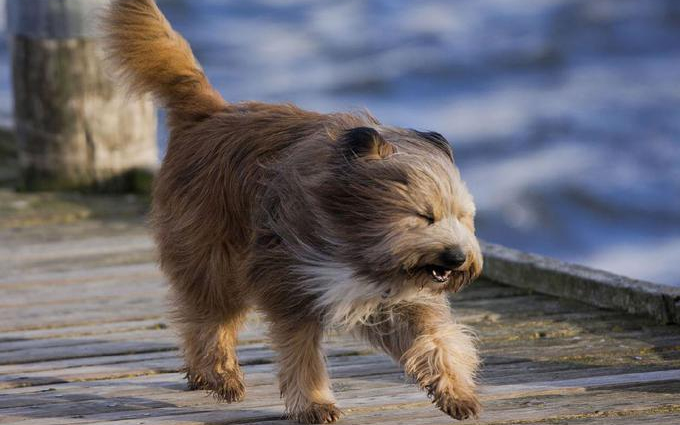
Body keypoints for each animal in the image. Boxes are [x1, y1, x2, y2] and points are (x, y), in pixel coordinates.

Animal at [102, 1, 484, 422]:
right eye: (423, 216)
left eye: (463, 218)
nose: (458, 257)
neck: (354, 238)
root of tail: (211, 113)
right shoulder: (291, 283)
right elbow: (302, 355)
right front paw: (315, 403)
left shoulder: (396, 299)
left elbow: (435, 339)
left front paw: (455, 391)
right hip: (215, 258)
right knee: (209, 320)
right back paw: (220, 375)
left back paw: (204, 375)